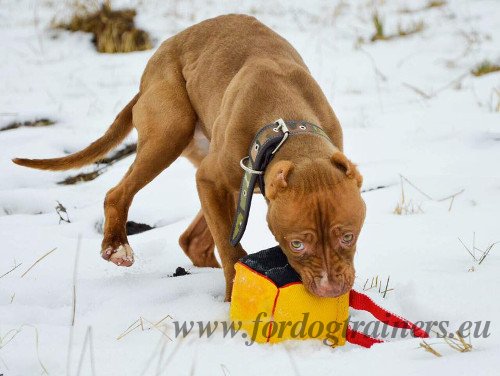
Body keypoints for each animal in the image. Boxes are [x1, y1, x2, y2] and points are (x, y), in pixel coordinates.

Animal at [12, 14, 364, 302]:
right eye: (297, 244)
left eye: (348, 236)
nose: (331, 290)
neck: (289, 129)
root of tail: (150, 70)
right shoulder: (210, 180)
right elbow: (230, 246)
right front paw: (231, 296)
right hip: (172, 131)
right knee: (118, 193)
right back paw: (117, 246)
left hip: (230, 182)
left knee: (191, 239)